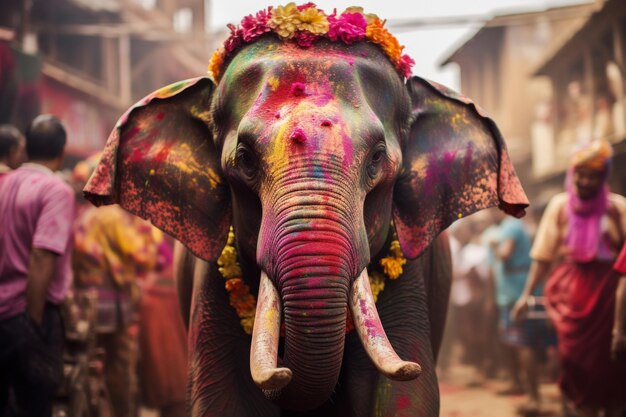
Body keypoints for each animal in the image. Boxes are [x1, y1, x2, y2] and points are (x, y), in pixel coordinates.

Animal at [81, 4, 520, 414]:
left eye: (378, 157)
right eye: (245, 158)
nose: (281, 371)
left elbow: (404, 397)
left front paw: (407, 373)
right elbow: (221, 398)